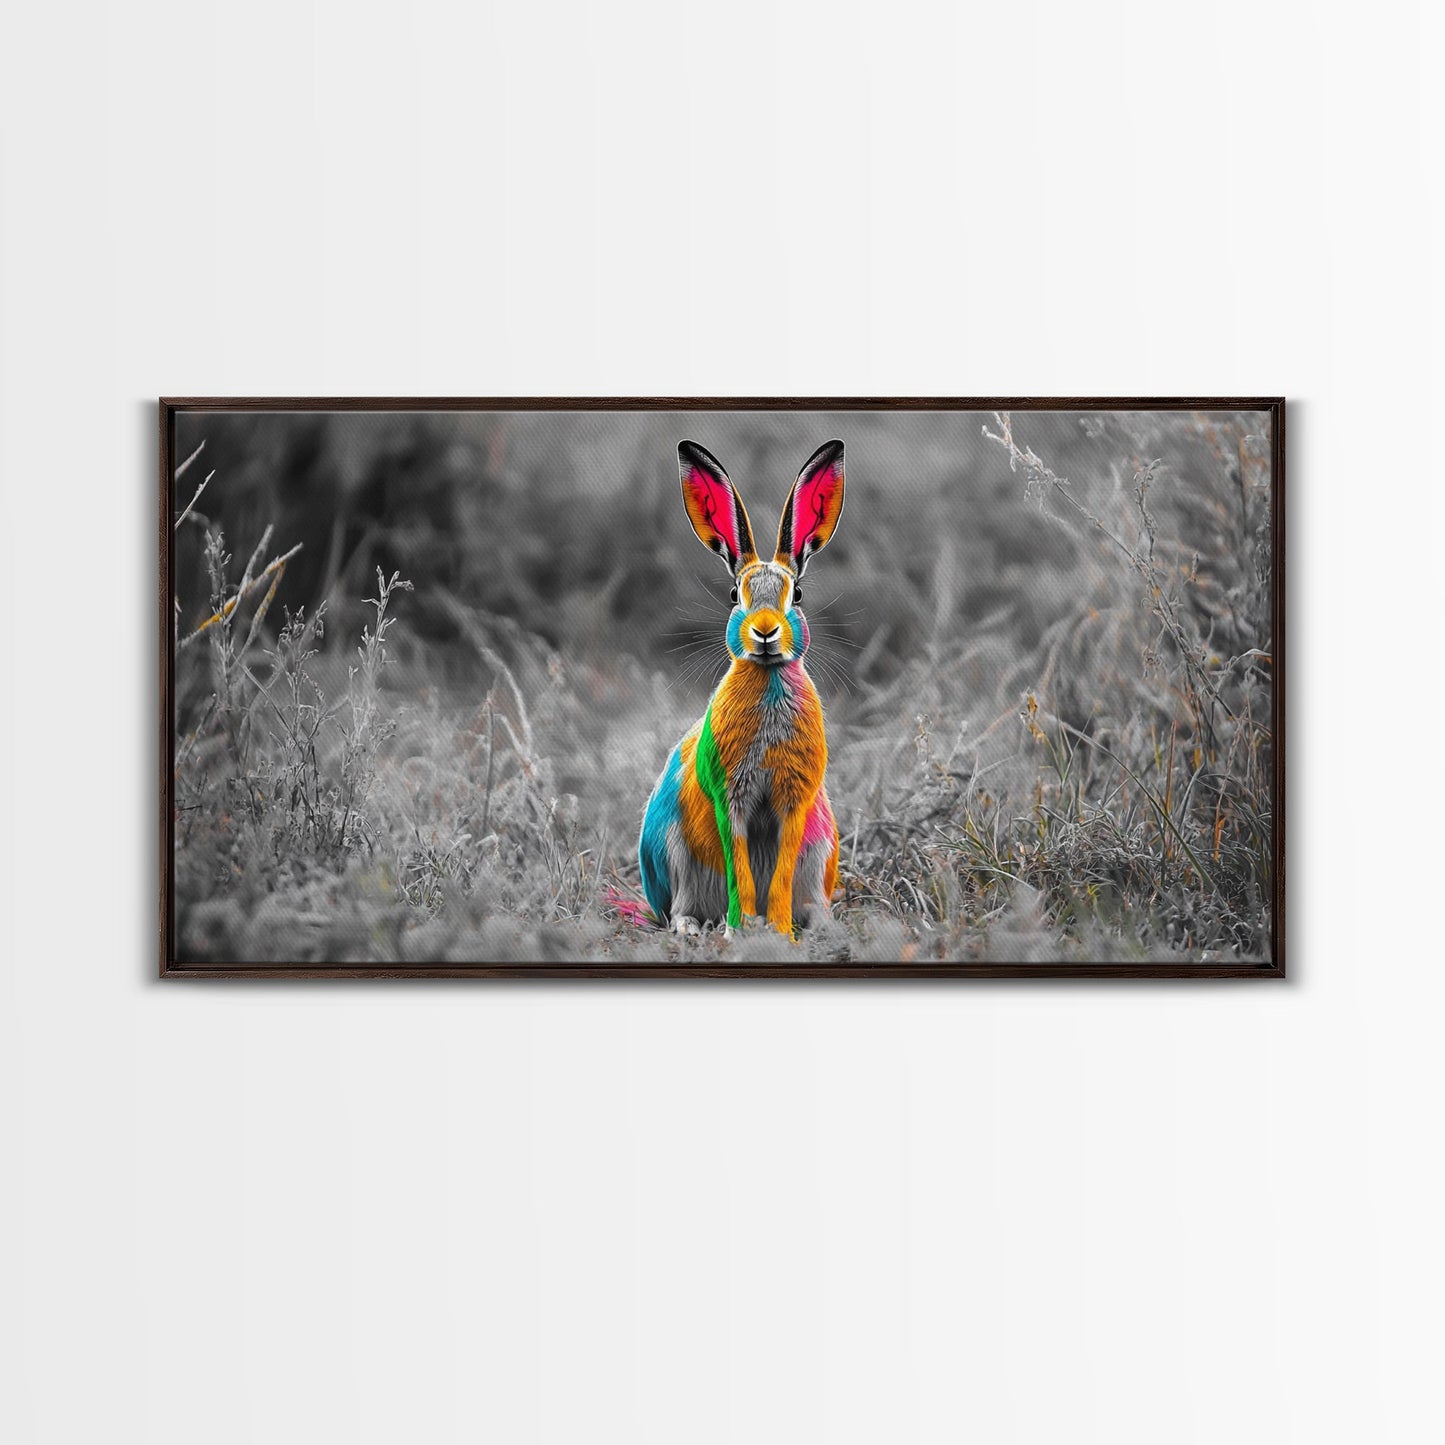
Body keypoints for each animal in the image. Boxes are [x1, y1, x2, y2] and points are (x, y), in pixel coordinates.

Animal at [638, 439, 846, 938]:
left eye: (798, 595)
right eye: (735, 595)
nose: (765, 632)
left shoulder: (796, 803)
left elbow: (782, 868)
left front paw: (780, 931)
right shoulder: (730, 796)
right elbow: (740, 867)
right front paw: (741, 929)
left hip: (822, 845)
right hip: (672, 852)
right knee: (679, 908)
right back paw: (694, 927)